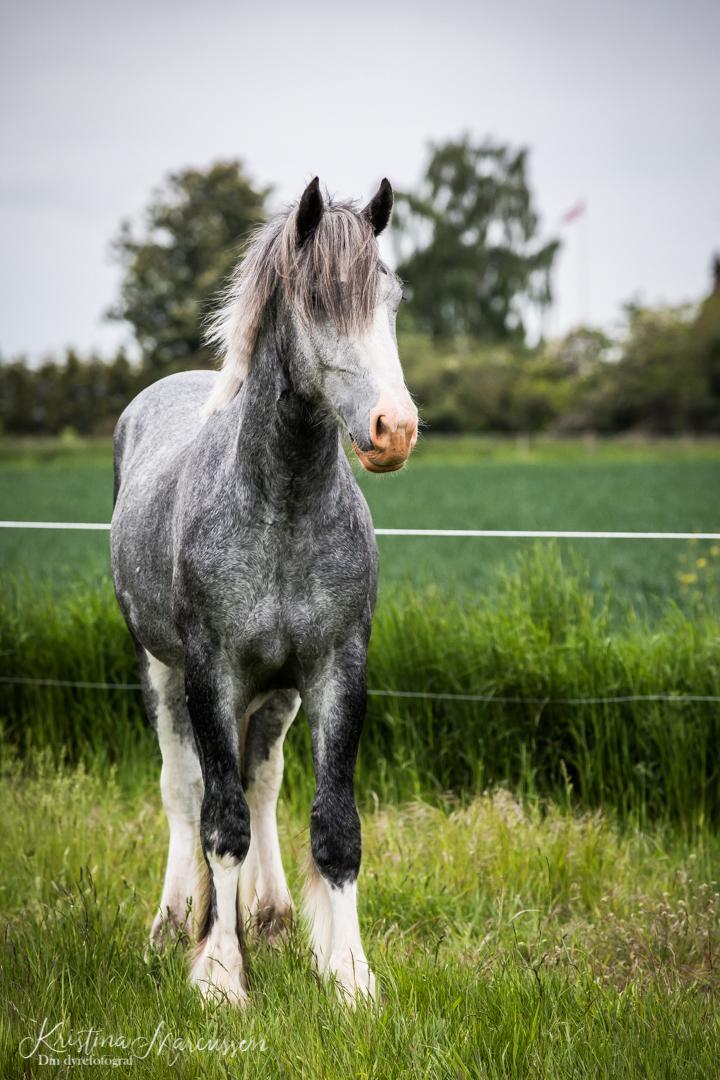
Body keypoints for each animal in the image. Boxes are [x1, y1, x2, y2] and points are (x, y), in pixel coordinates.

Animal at [110, 177, 418, 1002]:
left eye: (392, 296)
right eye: (318, 304)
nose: (396, 429)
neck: (280, 508)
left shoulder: (337, 671)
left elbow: (334, 827)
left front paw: (349, 977)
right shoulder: (212, 676)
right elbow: (220, 825)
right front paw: (220, 975)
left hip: (277, 694)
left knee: (263, 781)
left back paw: (272, 918)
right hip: (163, 672)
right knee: (185, 790)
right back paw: (172, 924)